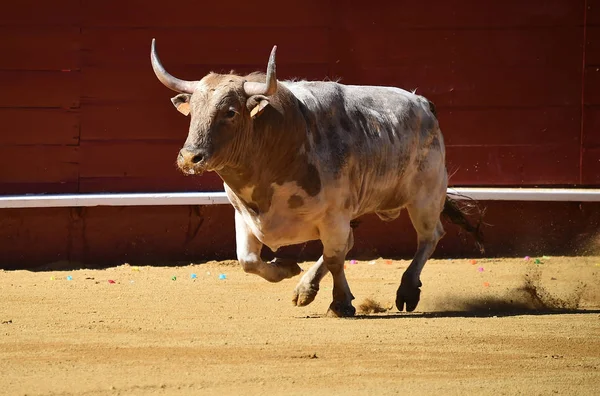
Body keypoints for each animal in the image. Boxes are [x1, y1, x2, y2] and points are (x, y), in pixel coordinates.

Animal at [150, 40, 482, 318]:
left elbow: (335, 258)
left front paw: (341, 303)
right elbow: (248, 260)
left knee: (429, 236)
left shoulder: (334, 215)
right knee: (353, 243)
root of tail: (423, 103)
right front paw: (286, 268)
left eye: (231, 112)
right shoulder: (243, 213)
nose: (190, 157)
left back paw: (408, 290)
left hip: (426, 196)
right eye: (192, 111)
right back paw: (305, 289)